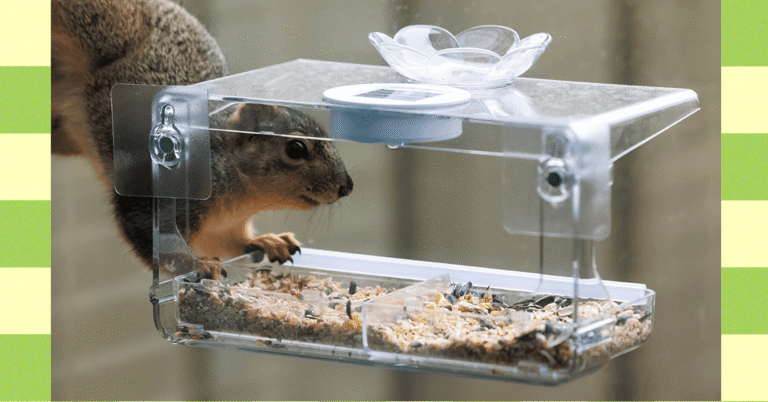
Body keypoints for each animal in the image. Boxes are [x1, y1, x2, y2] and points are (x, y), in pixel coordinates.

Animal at [51, 0, 353, 279]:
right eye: (296, 148)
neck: (243, 198)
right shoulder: (154, 197)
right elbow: (151, 240)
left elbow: (235, 242)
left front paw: (267, 241)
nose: (347, 187)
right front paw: (196, 264)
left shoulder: (224, 227)